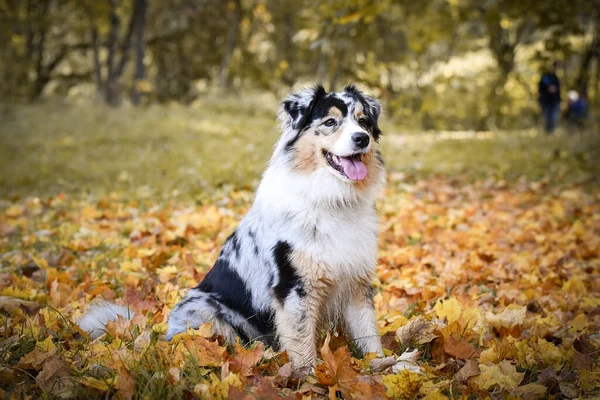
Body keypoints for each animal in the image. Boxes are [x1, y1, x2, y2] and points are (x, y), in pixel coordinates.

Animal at [79, 84, 386, 368]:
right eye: (330, 122)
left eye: (363, 122)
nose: (362, 139)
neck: (333, 199)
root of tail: (164, 331)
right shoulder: (294, 287)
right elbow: (302, 347)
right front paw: (310, 380)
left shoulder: (356, 282)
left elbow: (369, 335)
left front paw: (383, 368)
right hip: (206, 309)